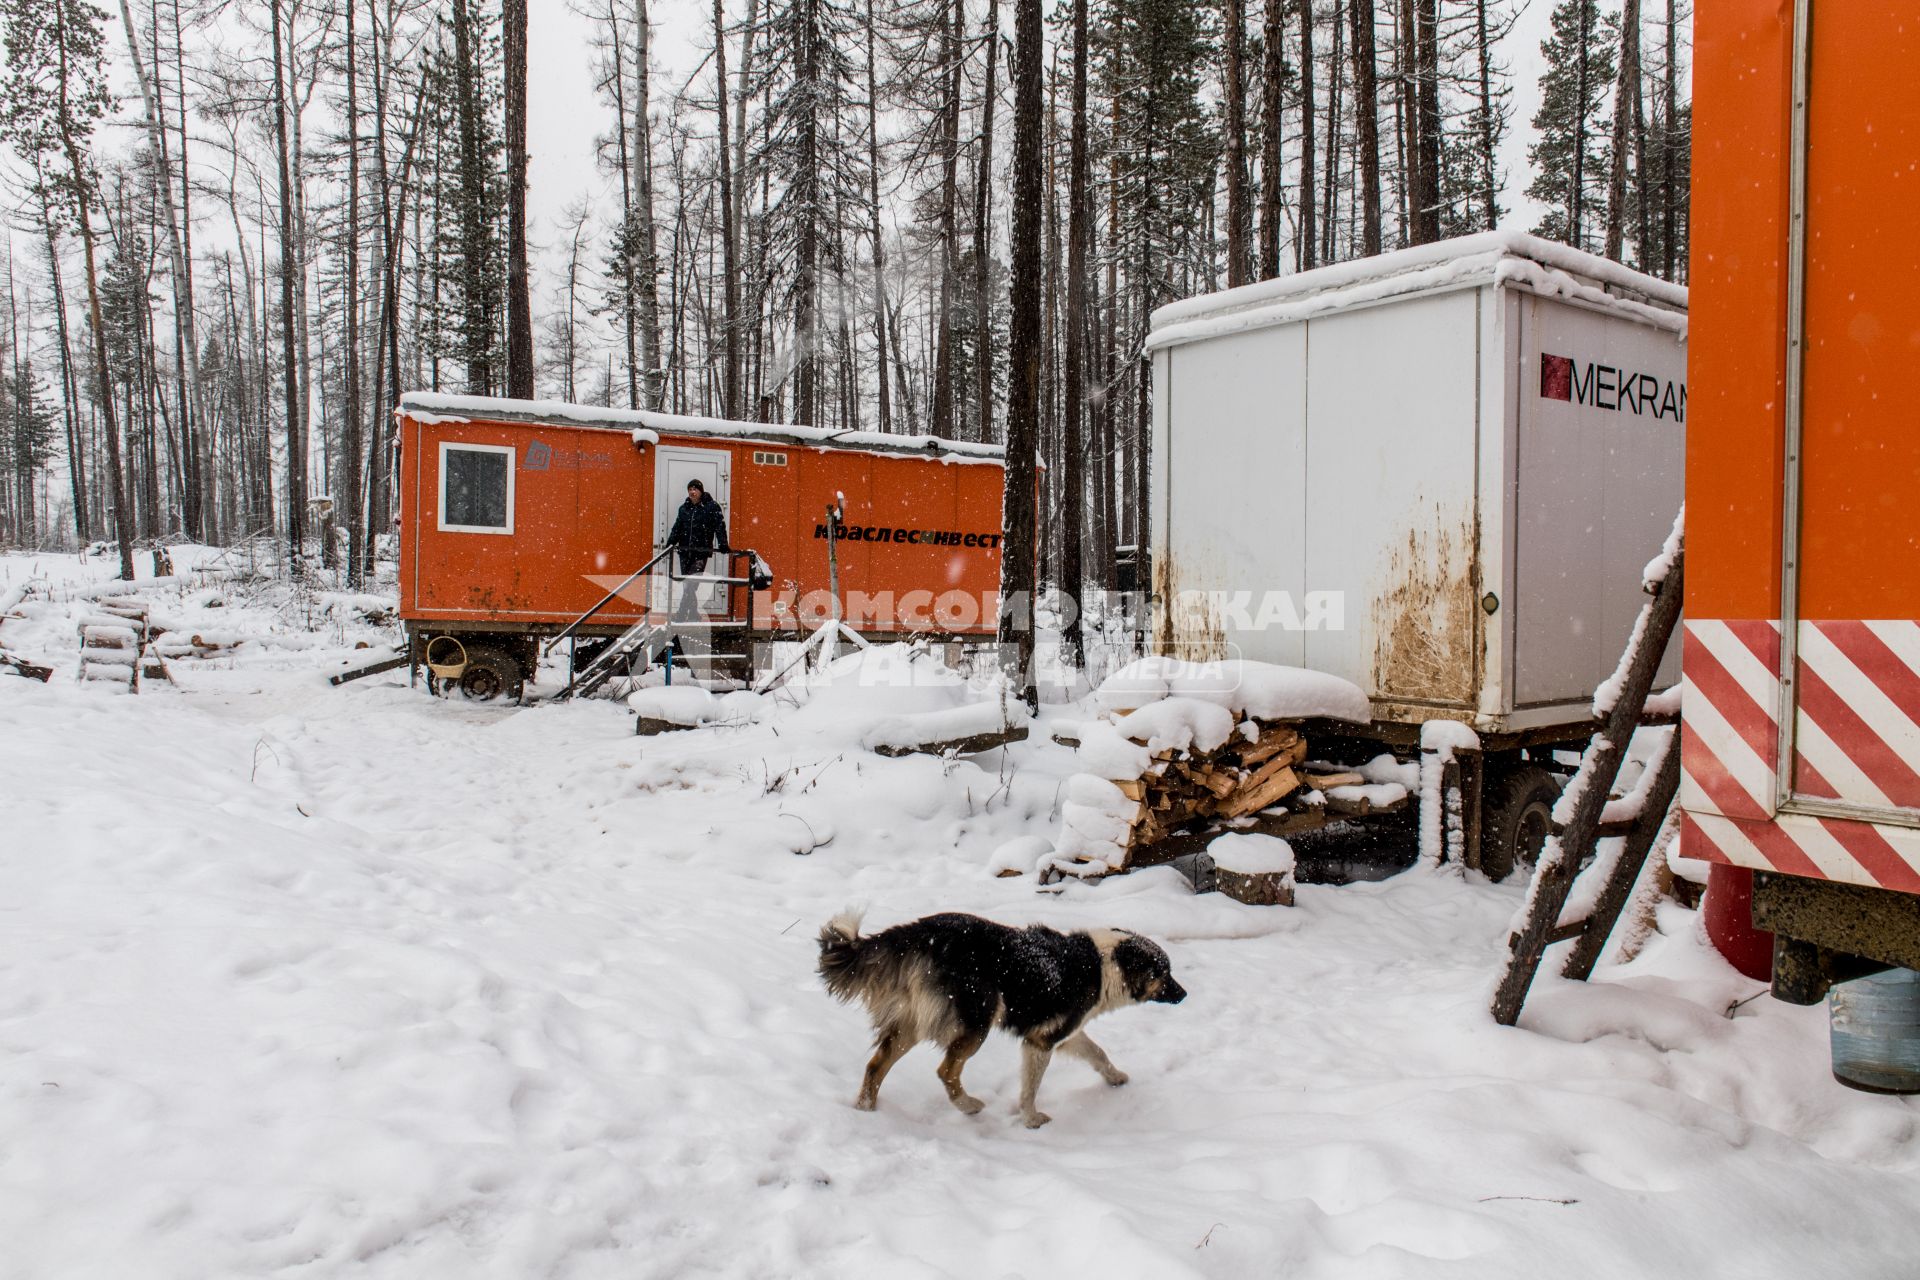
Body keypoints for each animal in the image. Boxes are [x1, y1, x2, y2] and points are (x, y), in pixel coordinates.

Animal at [821, 909, 1182, 1128]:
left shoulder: (1065, 1032)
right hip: (978, 1018)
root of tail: (917, 933)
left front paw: (1116, 1078)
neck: (1102, 964)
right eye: (1164, 973)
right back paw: (968, 1106)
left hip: (912, 1024)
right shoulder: (1040, 1041)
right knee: (945, 1070)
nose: (1185, 994)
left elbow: (1098, 1054)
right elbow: (1030, 1089)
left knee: (875, 1065)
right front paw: (1031, 1120)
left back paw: (867, 1112)